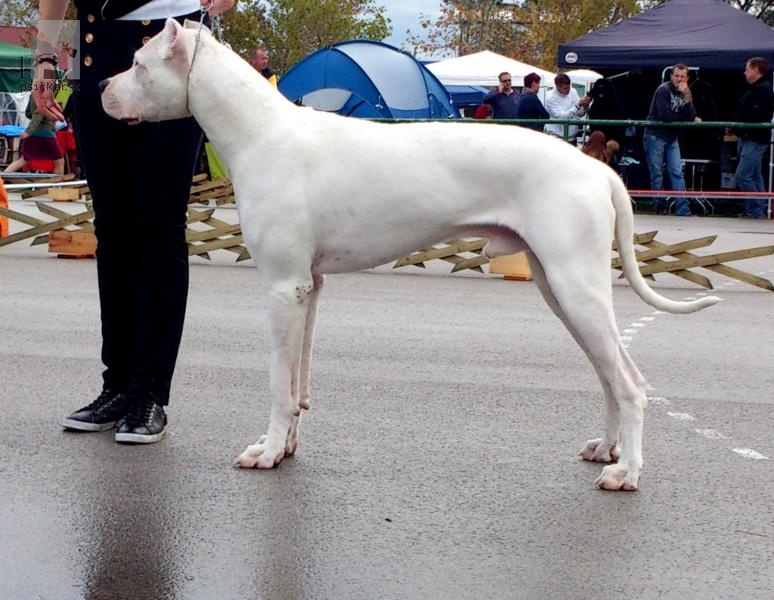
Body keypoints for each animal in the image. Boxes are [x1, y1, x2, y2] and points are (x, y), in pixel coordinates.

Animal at [101, 19, 720, 492]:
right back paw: (608, 450)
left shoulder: (282, 287)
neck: (260, 132)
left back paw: (627, 472)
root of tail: (598, 170)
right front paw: (287, 446)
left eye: (137, 63)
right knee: (610, 376)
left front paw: (267, 451)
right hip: (560, 289)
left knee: (630, 383)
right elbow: (298, 383)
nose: (103, 84)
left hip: (575, 288)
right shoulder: (308, 287)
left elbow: (279, 383)